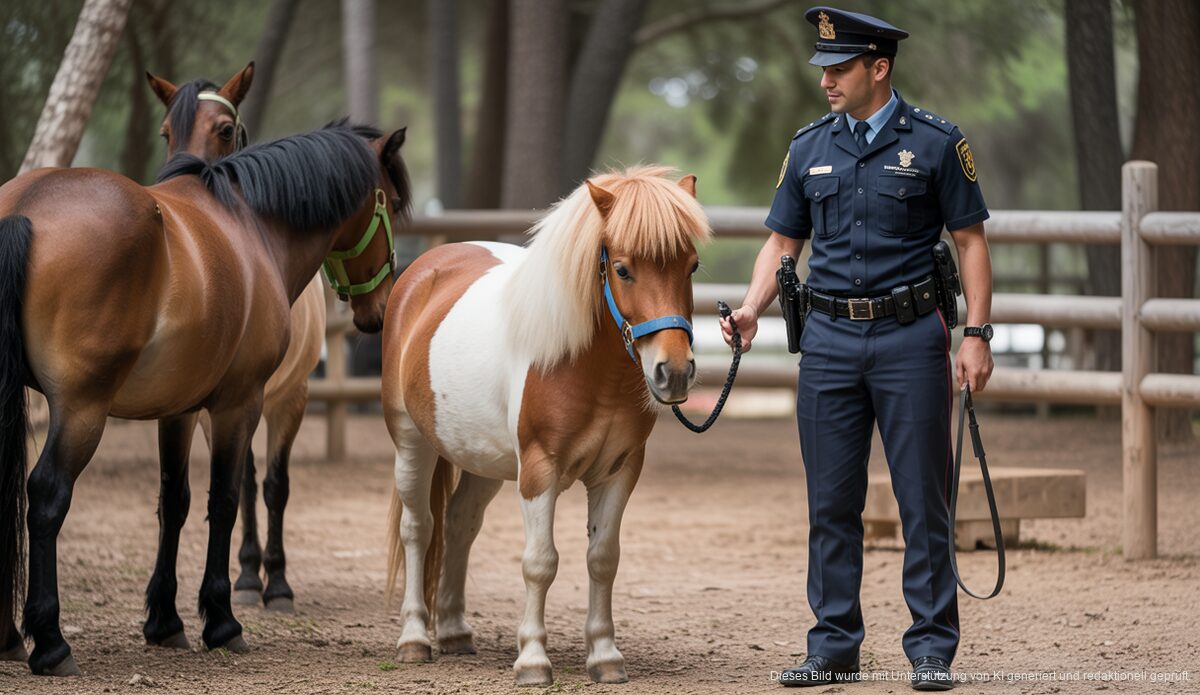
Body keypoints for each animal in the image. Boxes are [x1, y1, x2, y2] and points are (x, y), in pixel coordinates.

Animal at [0, 120, 410, 676]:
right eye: (392, 204)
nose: (382, 308)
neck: (253, 227)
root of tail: (26, 207)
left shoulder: (178, 410)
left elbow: (174, 503)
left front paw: (165, 621)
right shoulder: (238, 405)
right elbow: (226, 498)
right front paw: (221, 620)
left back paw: (8, 638)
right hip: (81, 411)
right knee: (46, 496)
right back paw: (49, 642)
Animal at [148, 65, 329, 613]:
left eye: (224, 131)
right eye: (166, 133)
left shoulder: (290, 400)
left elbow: (276, 486)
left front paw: (279, 583)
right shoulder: (213, 408)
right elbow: (238, 485)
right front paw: (248, 576)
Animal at [381, 166, 710, 686]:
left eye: (692, 266)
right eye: (622, 269)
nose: (673, 373)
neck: (587, 367)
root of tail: (424, 270)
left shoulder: (619, 471)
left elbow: (603, 559)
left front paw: (605, 656)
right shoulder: (539, 471)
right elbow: (540, 563)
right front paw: (533, 660)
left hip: (484, 460)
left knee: (459, 524)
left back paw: (454, 631)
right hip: (412, 441)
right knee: (419, 528)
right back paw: (414, 637)